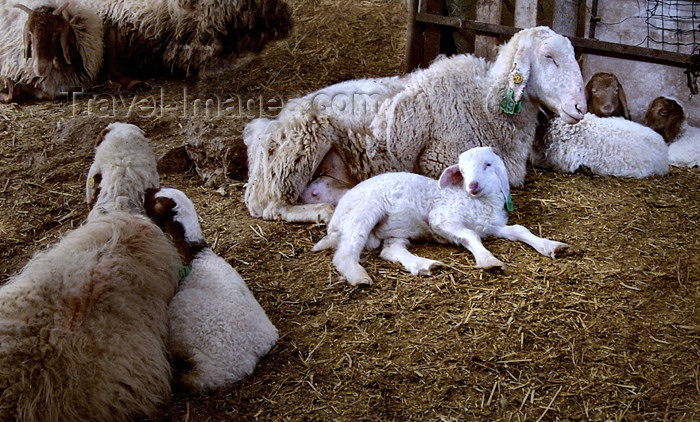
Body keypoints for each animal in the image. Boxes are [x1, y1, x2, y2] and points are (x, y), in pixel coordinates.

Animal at [243, 25, 588, 224]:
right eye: (549, 57)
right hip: (301, 146)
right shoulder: (437, 160)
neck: (484, 101)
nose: (580, 108)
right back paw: (320, 212)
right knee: (270, 207)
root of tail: (263, 131)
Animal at [312, 146, 568, 286]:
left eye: (488, 164)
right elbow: (470, 236)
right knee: (345, 254)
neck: (475, 200)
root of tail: (336, 218)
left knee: (391, 250)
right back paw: (359, 276)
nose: (473, 185)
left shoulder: (491, 224)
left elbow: (519, 230)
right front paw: (488, 261)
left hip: (395, 229)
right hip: (364, 213)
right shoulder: (443, 219)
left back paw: (425, 265)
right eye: (462, 171)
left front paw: (551, 246)